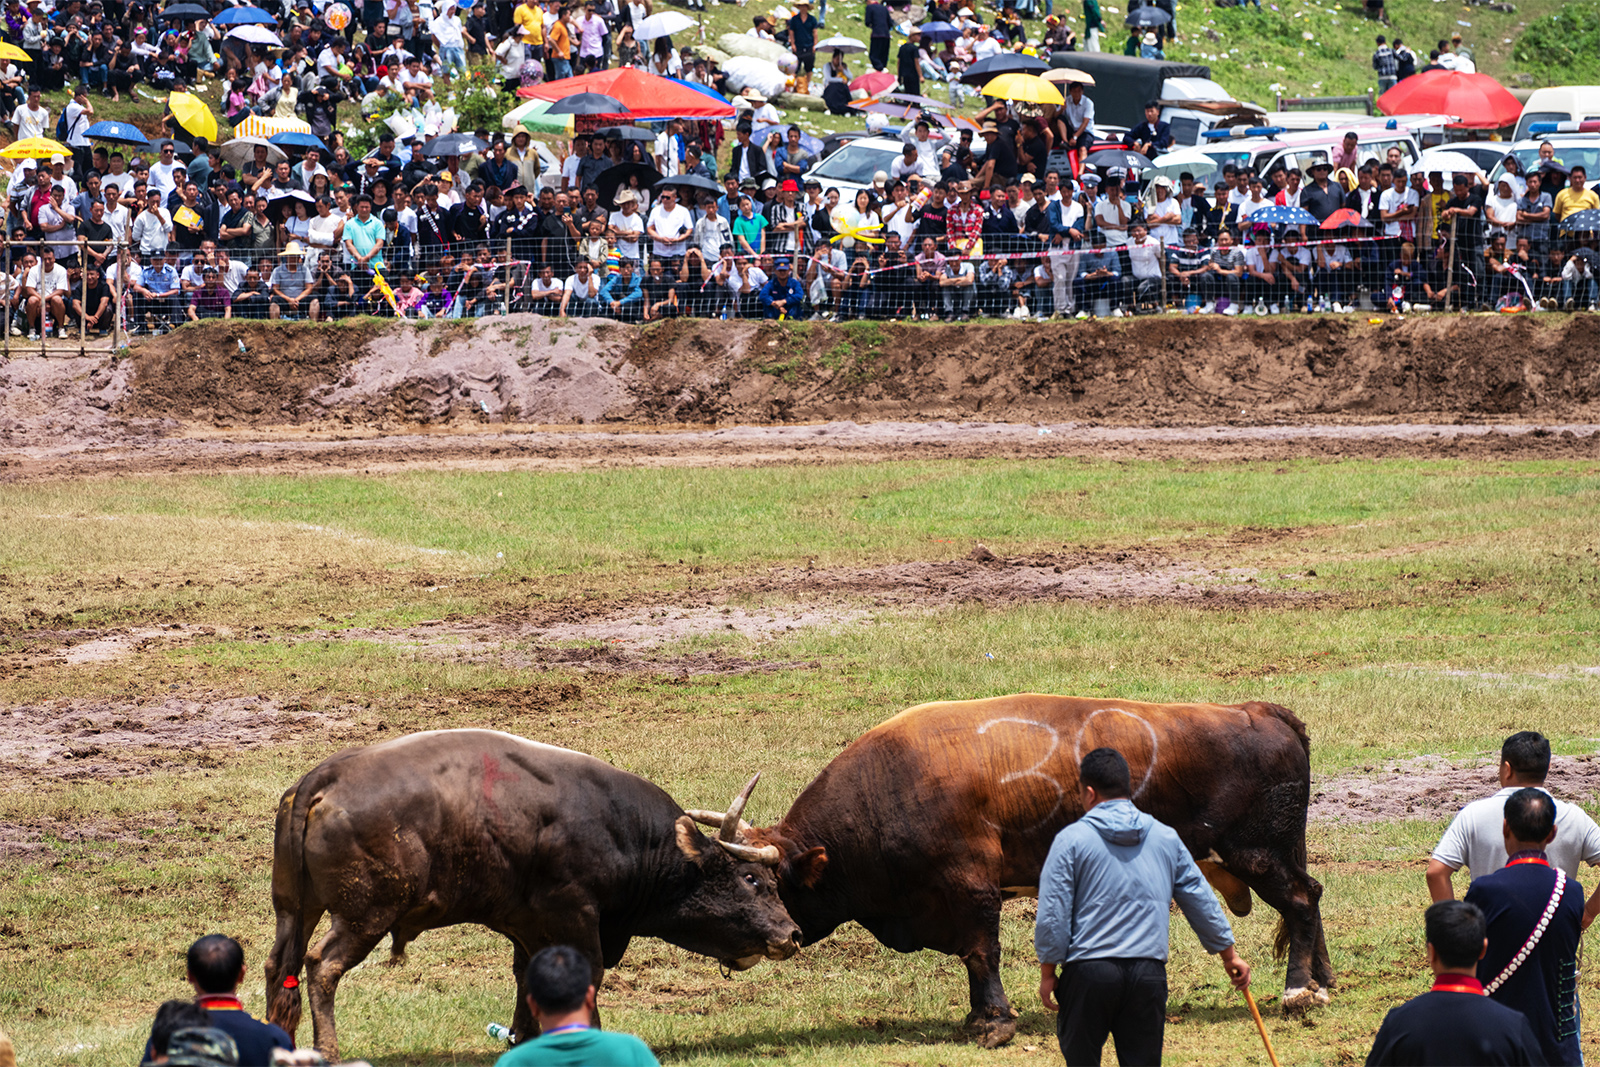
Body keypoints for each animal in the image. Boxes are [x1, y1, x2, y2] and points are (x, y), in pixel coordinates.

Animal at [267, 729, 806, 1062]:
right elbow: (587, 973)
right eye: (751, 880)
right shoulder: (576, 916)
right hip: (364, 915)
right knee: (322, 965)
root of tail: (323, 778)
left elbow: (526, 975)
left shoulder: (524, 925)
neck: (622, 832)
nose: (792, 934)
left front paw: (523, 1036)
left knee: (280, 967)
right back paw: (329, 1051)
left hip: (295, 910)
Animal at [694, 694, 1331, 1049]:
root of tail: (1259, 712)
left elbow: (982, 951)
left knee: (1300, 900)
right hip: (1278, 853)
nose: (754, 945)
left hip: (1257, 854)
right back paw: (1323, 980)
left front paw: (992, 1021)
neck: (887, 789)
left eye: (763, 882)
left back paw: (1298, 990)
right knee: (1312, 894)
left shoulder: (971, 885)